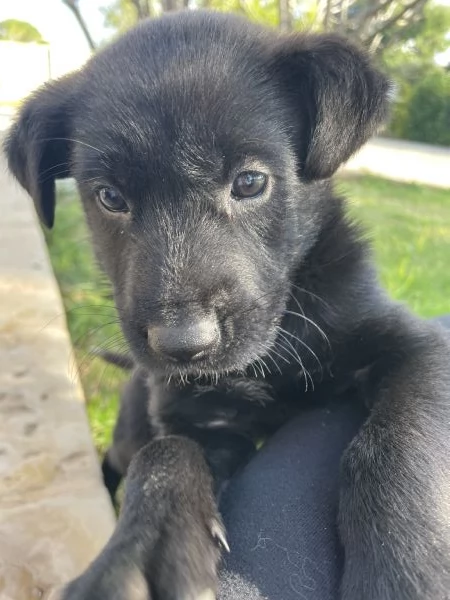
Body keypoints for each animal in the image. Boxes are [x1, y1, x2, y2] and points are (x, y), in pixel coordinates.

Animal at [4, 10, 450, 600]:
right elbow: (166, 452)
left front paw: (401, 569)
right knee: (121, 454)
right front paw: (140, 551)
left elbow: (396, 443)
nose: (183, 346)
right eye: (110, 198)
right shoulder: (191, 414)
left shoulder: (416, 344)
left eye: (251, 181)